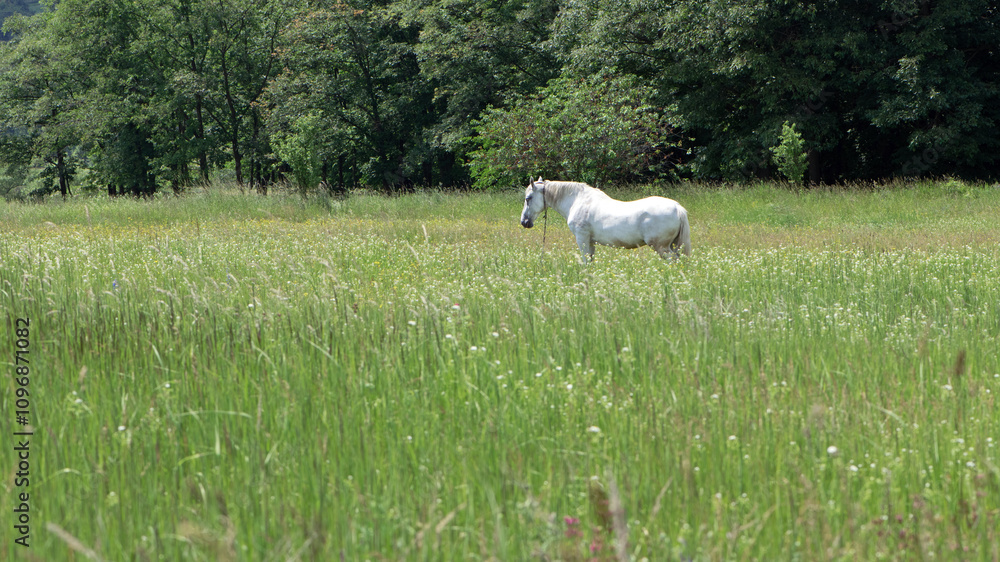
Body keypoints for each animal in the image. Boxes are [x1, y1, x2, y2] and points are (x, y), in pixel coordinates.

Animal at [520, 177, 691, 262]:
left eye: (528, 198)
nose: (524, 222)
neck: (578, 200)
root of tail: (677, 208)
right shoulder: (590, 242)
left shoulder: (582, 239)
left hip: (661, 247)